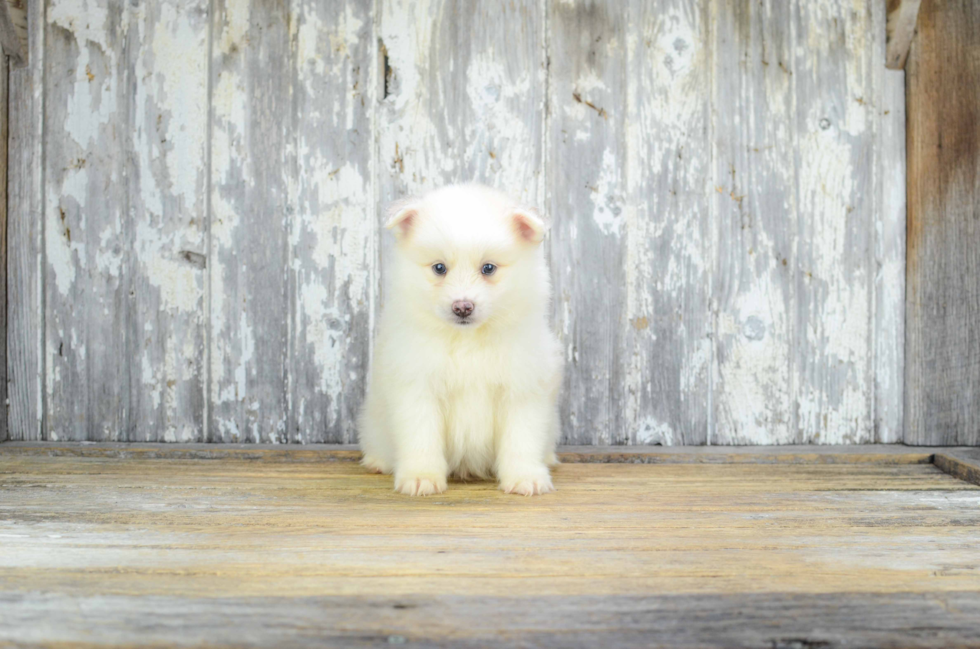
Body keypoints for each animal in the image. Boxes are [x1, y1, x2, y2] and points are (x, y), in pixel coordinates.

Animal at [360, 182, 564, 496]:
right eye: (439, 268)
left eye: (488, 268)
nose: (463, 307)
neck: (467, 339)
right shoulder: (417, 387)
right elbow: (421, 438)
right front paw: (421, 476)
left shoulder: (522, 389)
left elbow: (521, 439)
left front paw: (525, 477)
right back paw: (377, 461)